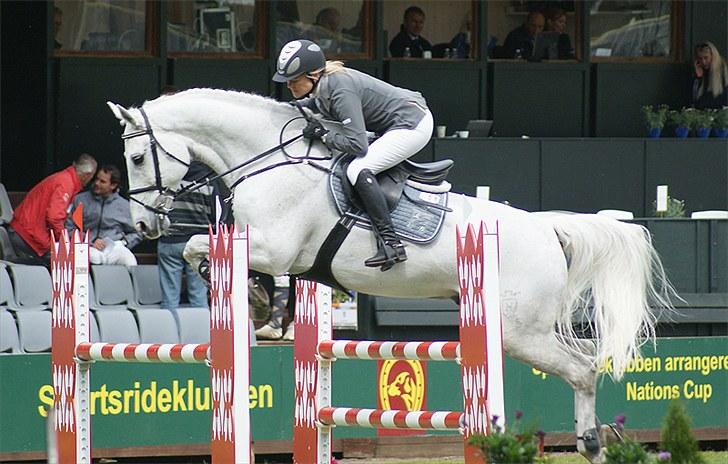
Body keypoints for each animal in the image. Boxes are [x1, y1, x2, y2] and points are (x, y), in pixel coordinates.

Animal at [106, 89, 672, 462]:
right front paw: (257, 301)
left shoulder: (274, 246)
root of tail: (547, 227)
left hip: (519, 331)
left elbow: (202, 245)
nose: (144, 225)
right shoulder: (272, 252)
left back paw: (592, 443)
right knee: (585, 363)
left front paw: (256, 302)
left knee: (583, 369)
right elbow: (214, 252)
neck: (267, 160)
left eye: (136, 157)